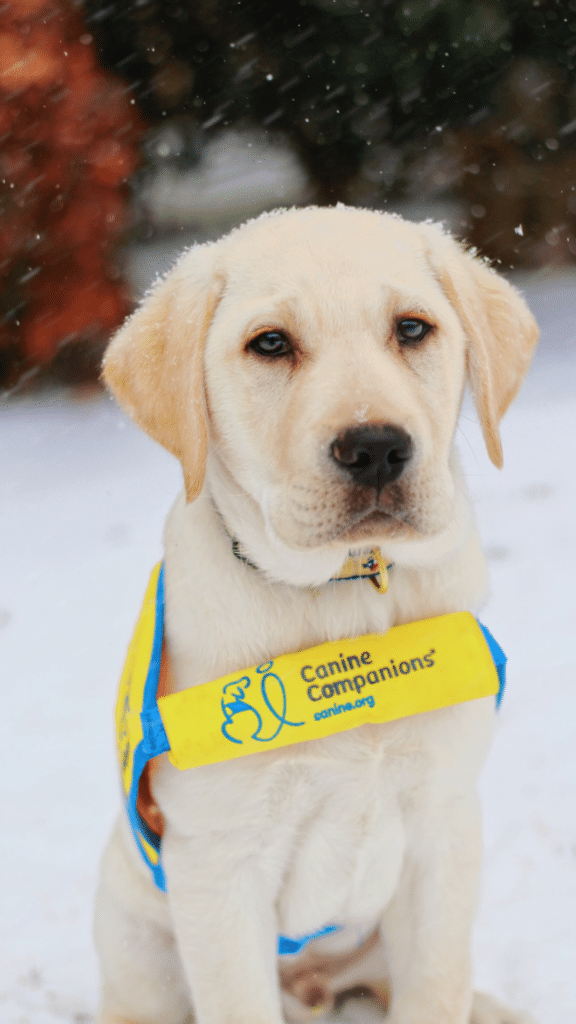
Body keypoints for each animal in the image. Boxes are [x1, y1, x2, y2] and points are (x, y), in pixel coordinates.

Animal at [95, 205, 537, 1024]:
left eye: (412, 328)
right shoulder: (218, 867)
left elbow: (436, 987)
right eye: (270, 344)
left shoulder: (443, 824)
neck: (343, 591)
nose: (376, 448)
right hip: (134, 926)